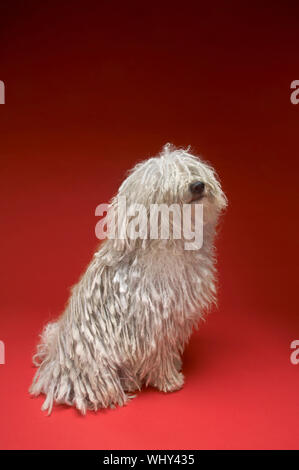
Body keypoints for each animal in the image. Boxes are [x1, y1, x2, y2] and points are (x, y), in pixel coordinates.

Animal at [29, 145, 227, 414]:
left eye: (191, 169)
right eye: (164, 180)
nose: (197, 185)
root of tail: (54, 365)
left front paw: (175, 365)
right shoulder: (154, 320)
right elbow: (159, 352)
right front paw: (169, 379)